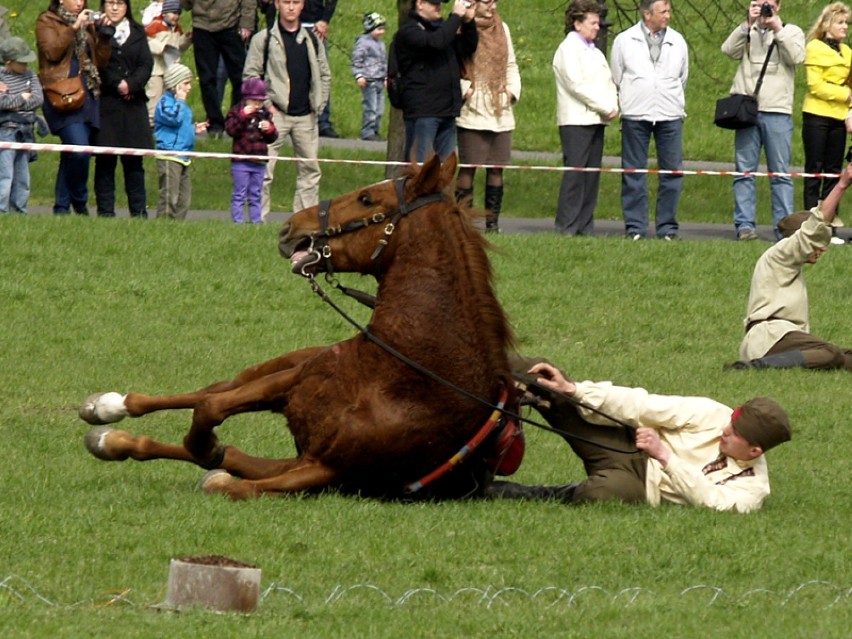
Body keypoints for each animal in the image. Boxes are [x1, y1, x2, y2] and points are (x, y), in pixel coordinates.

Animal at [78, 154, 520, 500]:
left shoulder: (325, 470)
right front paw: (196, 441)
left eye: (366, 198)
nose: (289, 228)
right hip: (278, 365)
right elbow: (210, 408)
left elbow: (231, 475)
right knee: (207, 391)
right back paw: (109, 409)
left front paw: (209, 454)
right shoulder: (288, 383)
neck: (403, 374)